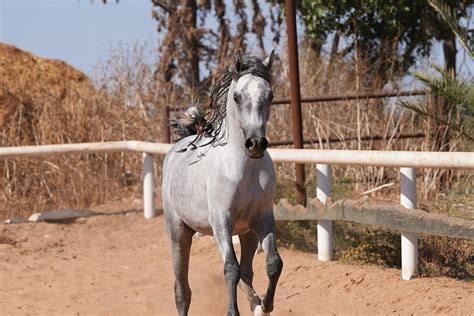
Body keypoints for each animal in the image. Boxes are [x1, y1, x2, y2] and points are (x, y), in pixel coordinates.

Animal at [161, 51, 284, 316]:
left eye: (270, 95)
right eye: (237, 96)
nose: (256, 144)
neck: (244, 170)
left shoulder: (263, 218)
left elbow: (273, 263)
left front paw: (266, 305)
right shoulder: (221, 222)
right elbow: (230, 269)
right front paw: (233, 312)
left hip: (247, 233)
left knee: (248, 273)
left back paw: (256, 305)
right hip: (179, 233)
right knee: (182, 290)